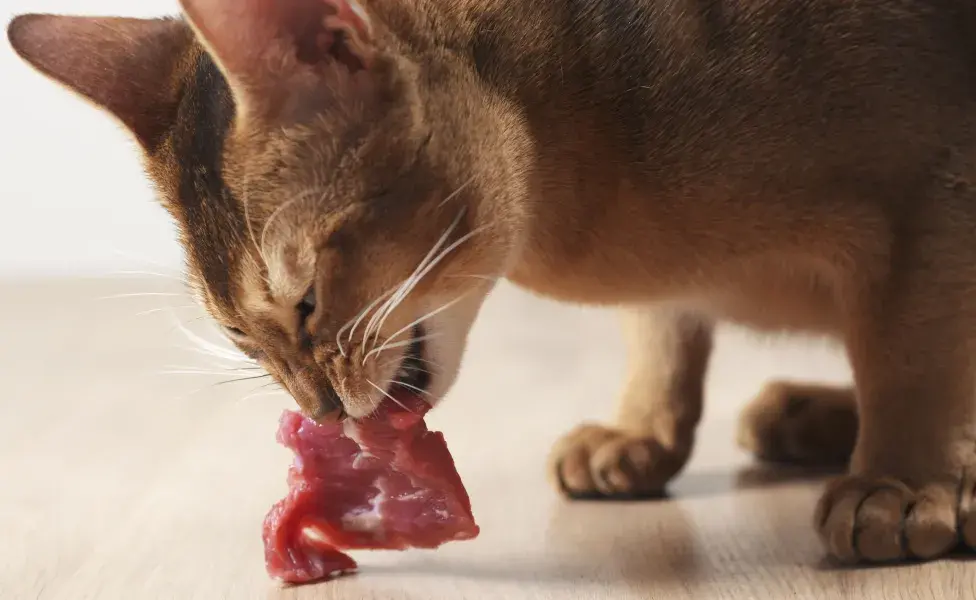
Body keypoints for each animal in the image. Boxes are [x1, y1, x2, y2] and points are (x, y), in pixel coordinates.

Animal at [7, 0, 976, 568]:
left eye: (308, 299)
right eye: (243, 338)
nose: (320, 409)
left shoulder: (935, 186)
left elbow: (907, 359)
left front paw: (899, 481)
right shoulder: (666, 294)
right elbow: (662, 328)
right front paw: (639, 429)